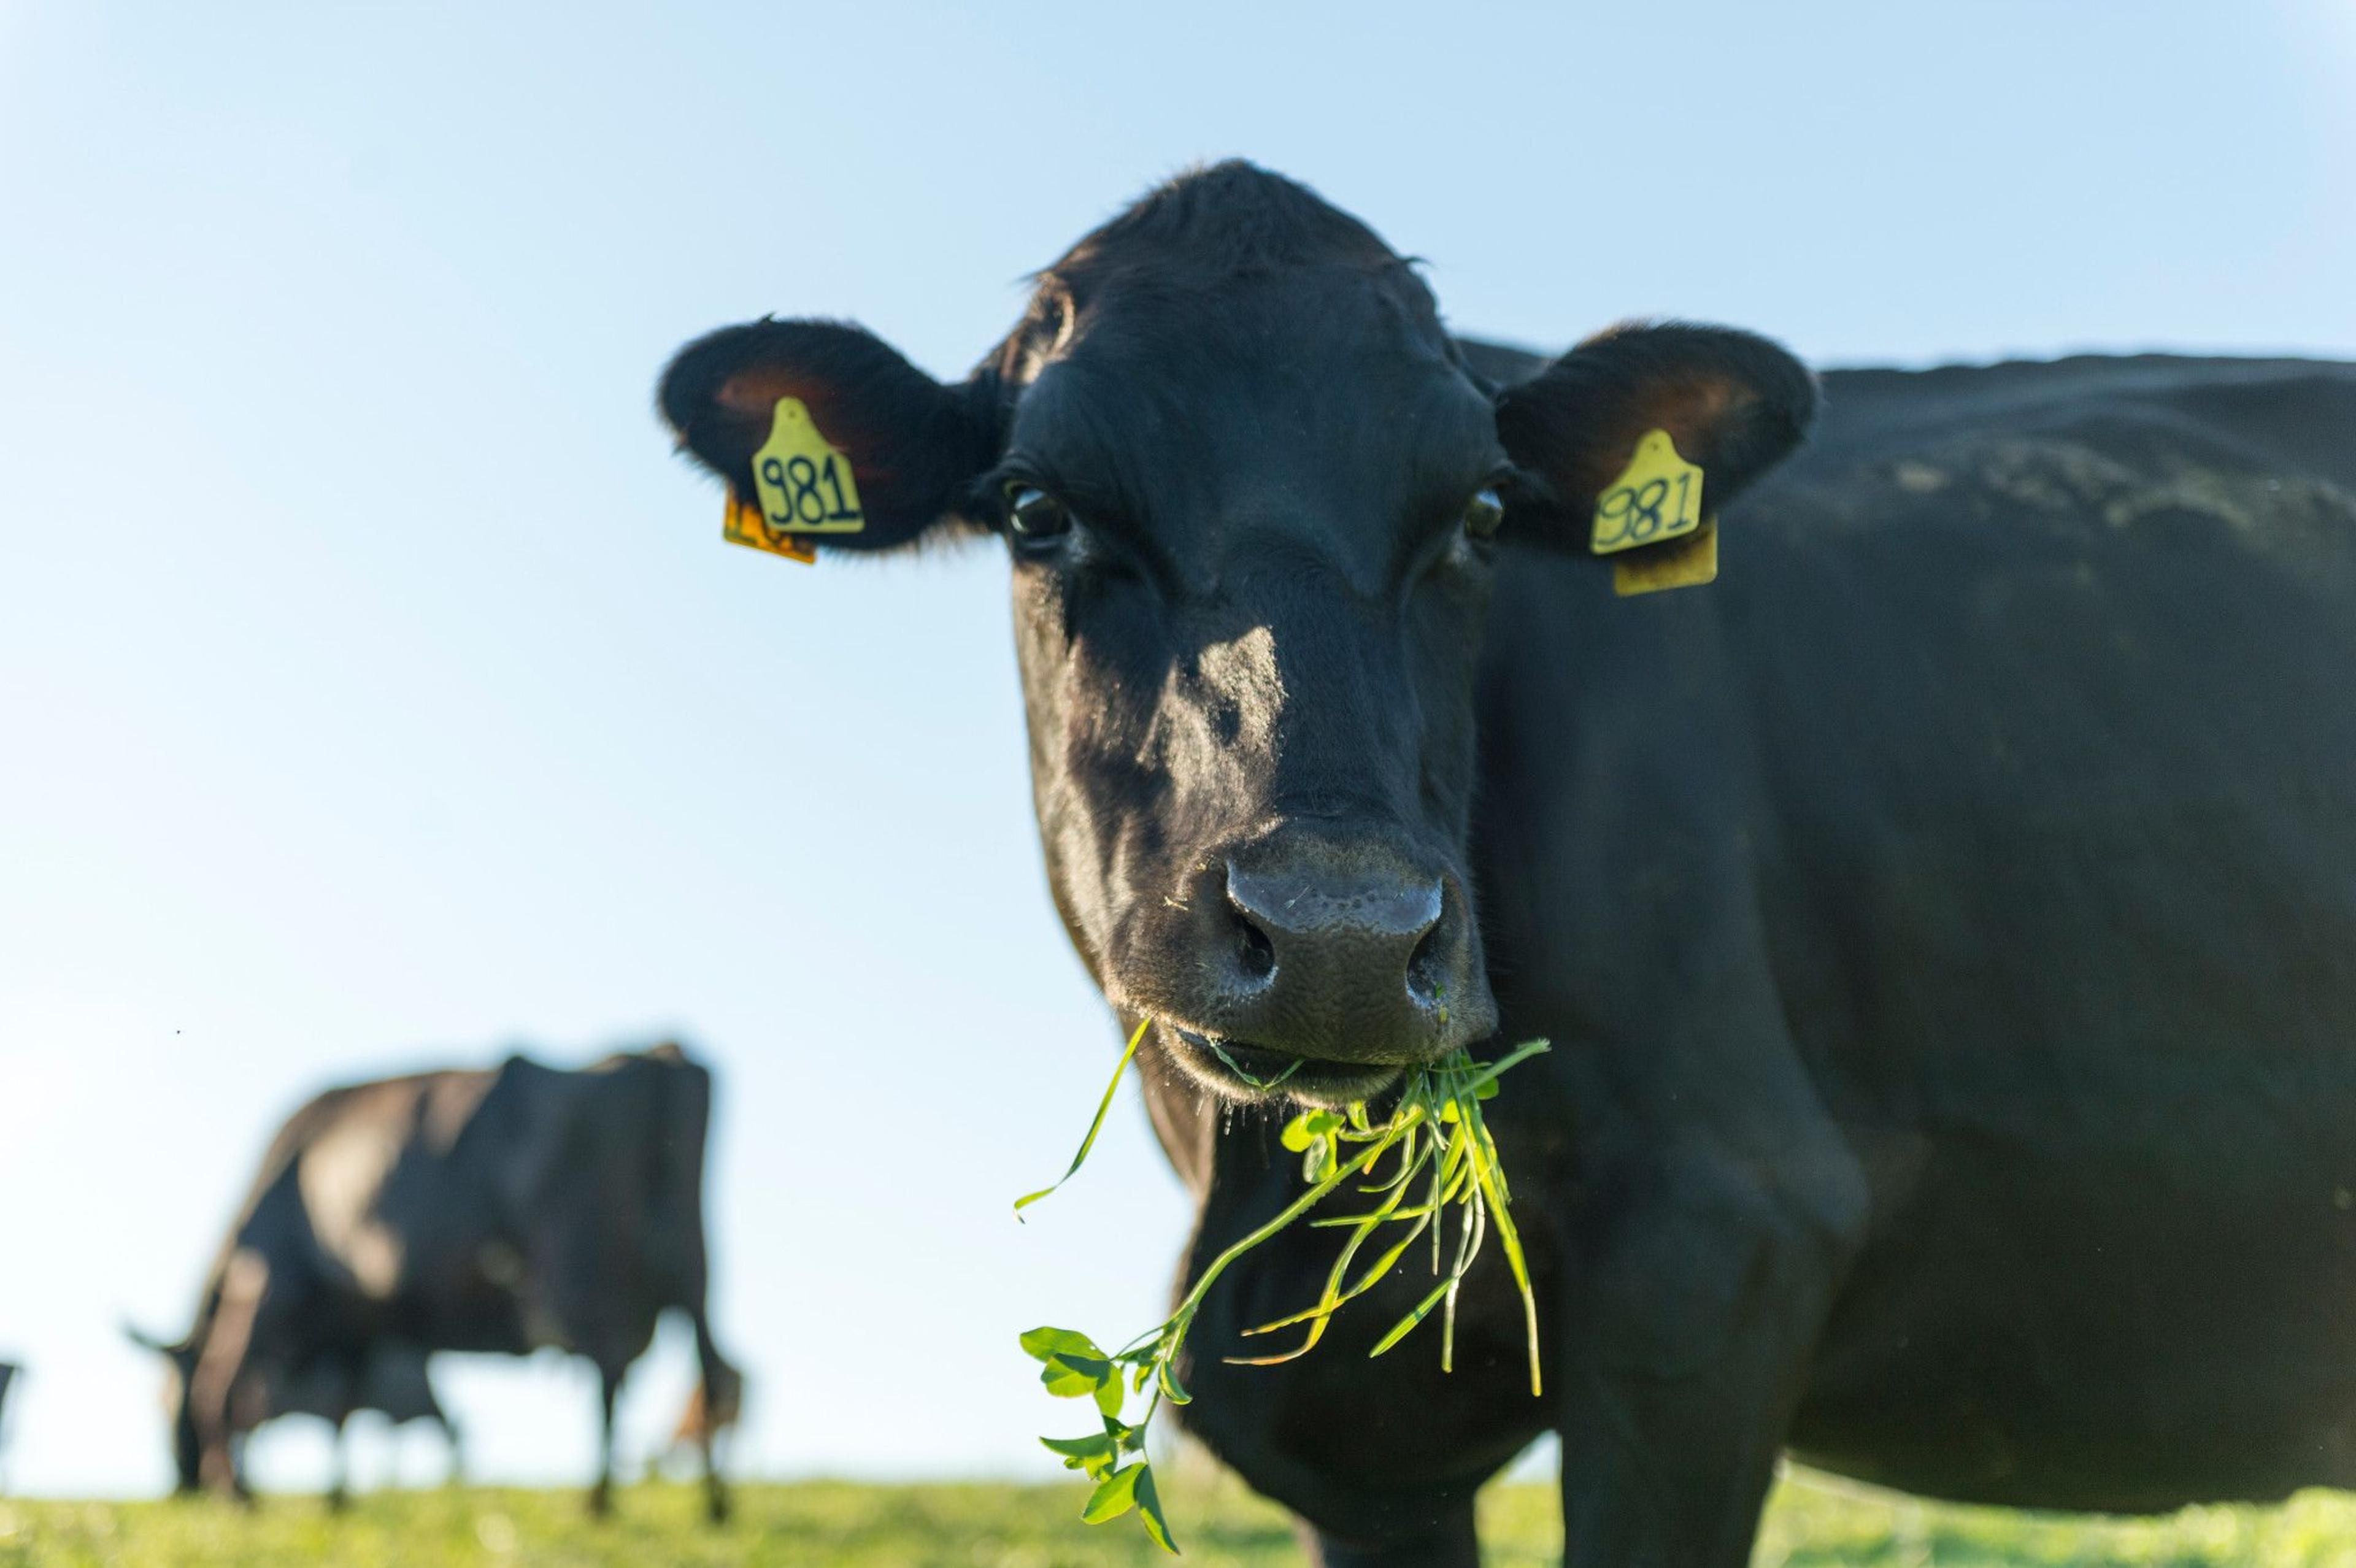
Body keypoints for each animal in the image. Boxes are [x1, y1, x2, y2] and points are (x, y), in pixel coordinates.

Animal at [130, 1043, 741, 1521]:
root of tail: (659, 1056)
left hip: (579, 1265)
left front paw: (241, 1496)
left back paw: (599, 1502)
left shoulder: (270, 1287)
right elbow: (346, 1404)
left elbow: (222, 1385)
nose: (184, 1488)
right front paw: (336, 1501)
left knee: (610, 1377)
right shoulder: (357, 1315)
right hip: (693, 1265)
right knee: (710, 1370)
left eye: (165, 1403)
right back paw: (714, 1508)